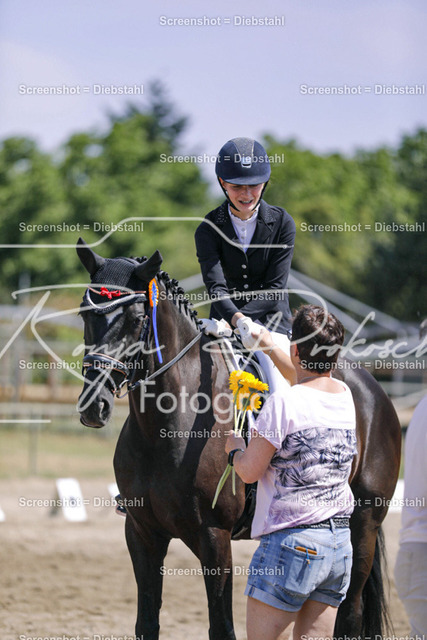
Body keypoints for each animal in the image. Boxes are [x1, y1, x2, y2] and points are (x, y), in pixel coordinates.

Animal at [75, 238, 401, 640]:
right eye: (84, 313)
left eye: (137, 318)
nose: (94, 406)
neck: (165, 427)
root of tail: (372, 387)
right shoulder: (141, 532)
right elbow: (146, 623)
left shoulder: (214, 536)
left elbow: (222, 626)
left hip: (364, 524)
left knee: (351, 610)